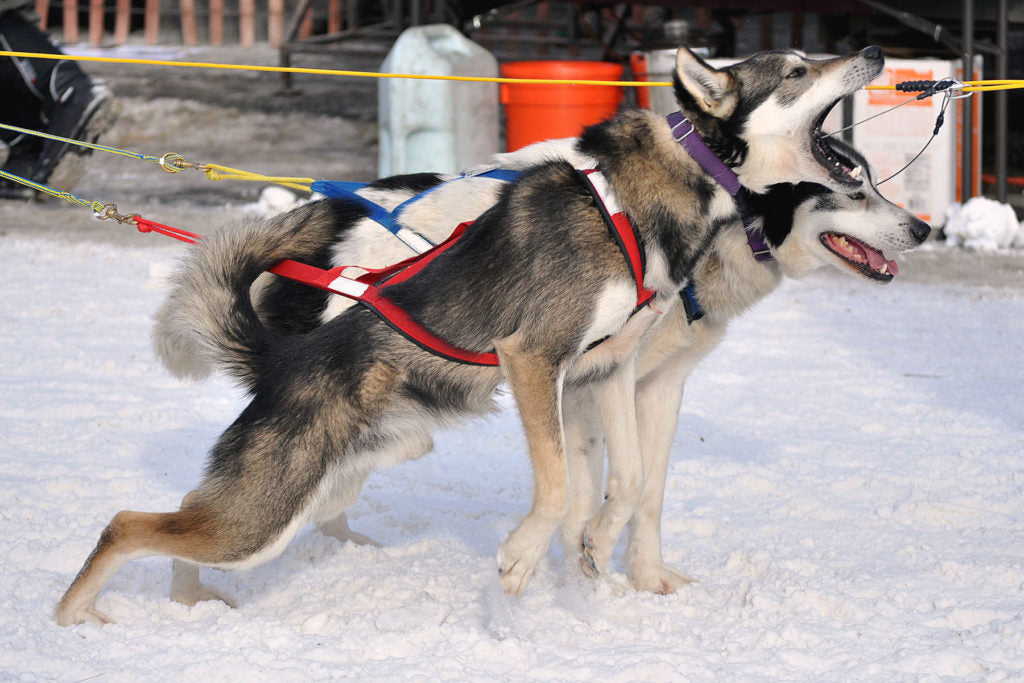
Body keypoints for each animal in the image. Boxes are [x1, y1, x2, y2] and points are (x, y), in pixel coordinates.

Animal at [58, 46, 888, 626]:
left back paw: (185, 601)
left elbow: (625, 484)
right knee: (127, 523)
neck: (650, 197)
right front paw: (525, 558)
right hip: (266, 510)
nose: (875, 54)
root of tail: (281, 355)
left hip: (326, 477)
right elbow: (559, 485)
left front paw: (593, 551)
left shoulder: (610, 372)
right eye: (797, 68)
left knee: (181, 517)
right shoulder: (535, 360)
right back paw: (75, 616)